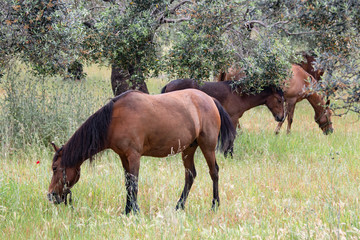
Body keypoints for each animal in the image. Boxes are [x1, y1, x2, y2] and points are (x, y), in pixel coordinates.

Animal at [48, 89, 239, 213]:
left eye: (55, 168)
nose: (51, 196)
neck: (114, 119)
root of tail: (210, 99)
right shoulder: (123, 157)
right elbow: (127, 183)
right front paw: (127, 210)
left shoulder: (134, 156)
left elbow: (134, 184)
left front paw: (136, 211)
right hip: (188, 149)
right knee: (190, 175)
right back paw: (179, 206)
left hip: (207, 146)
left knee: (214, 172)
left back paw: (214, 205)